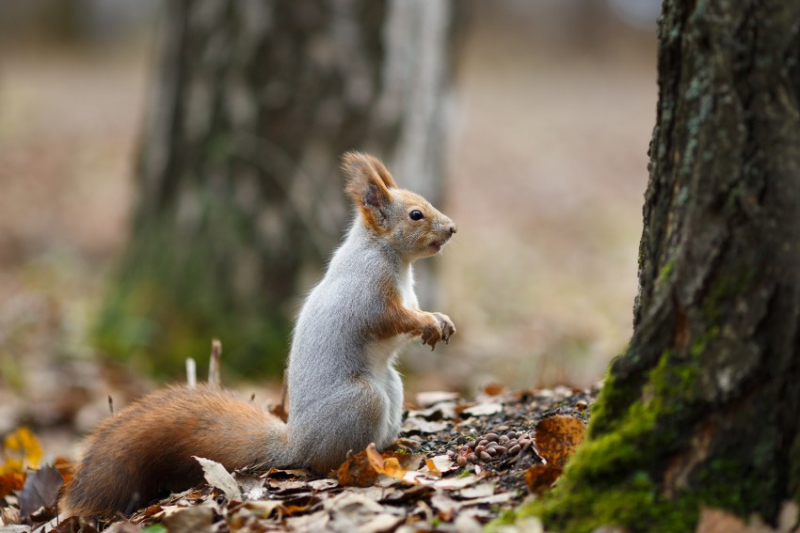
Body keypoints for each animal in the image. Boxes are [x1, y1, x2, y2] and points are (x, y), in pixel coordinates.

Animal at [61, 152, 456, 516]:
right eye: (416, 215)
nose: (451, 229)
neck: (389, 256)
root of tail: (297, 445)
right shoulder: (368, 295)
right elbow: (391, 320)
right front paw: (428, 322)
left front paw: (440, 320)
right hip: (363, 400)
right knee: (327, 462)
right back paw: (366, 462)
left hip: (391, 386)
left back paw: (393, 450)